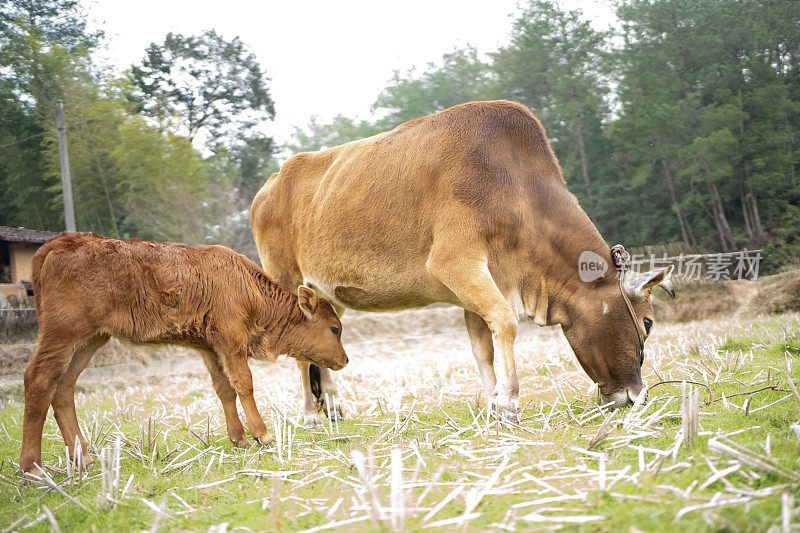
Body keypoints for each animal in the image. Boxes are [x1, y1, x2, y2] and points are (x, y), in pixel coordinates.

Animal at [20, 233, 346, 474]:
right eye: (334, 328)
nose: (344, 359)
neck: (246, 287)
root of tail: (58, 242)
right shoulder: (232, 343)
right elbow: (244, 384)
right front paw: (261, 434)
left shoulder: (210, 348)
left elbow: (225, 389)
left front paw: (238, 438)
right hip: (63, 336)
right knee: (38, 380)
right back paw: (32, 467)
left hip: (88, 341)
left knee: (63, 388)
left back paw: (84, 459)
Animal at [252, 100, 676, 426]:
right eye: (648, 322)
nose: (637, 396)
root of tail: (270, 184)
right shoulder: (454, 262)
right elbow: (506, 323)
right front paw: (508, 403)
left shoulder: (481, 287)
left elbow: (483, 347)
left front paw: (493, 404)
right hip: (285, 279)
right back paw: (310, 416)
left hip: (325, 294)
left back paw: (336, 410)